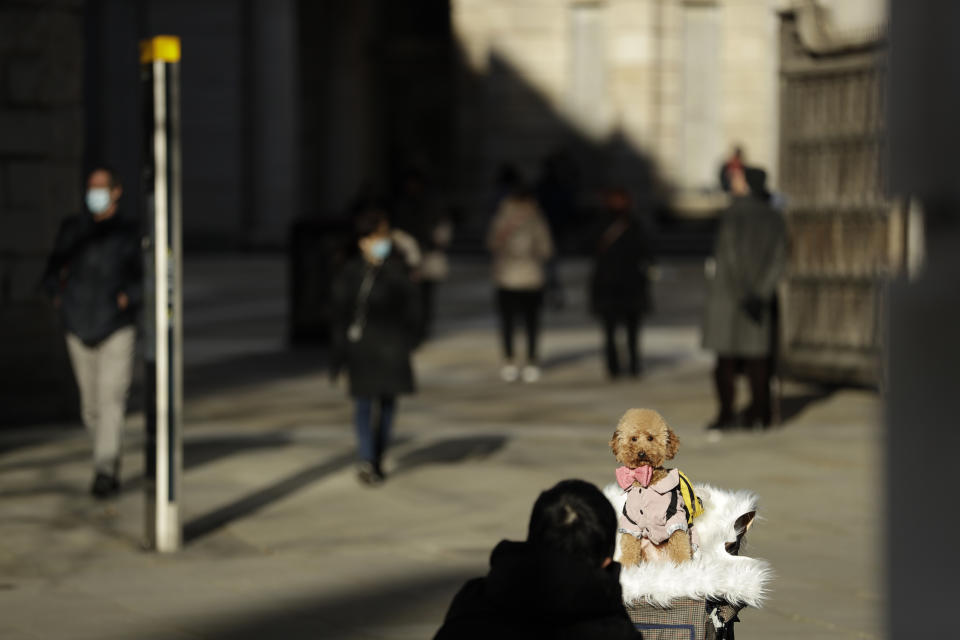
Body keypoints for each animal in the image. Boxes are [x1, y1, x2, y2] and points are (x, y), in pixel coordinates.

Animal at [612, 410, 692, 564]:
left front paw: (685, 565)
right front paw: (627, 566)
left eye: (650, 438)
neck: (644, 485)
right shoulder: (630, 521)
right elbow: (629, 545)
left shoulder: (675, 516)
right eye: (634, 438)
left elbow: (679, 541)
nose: (641, 453)